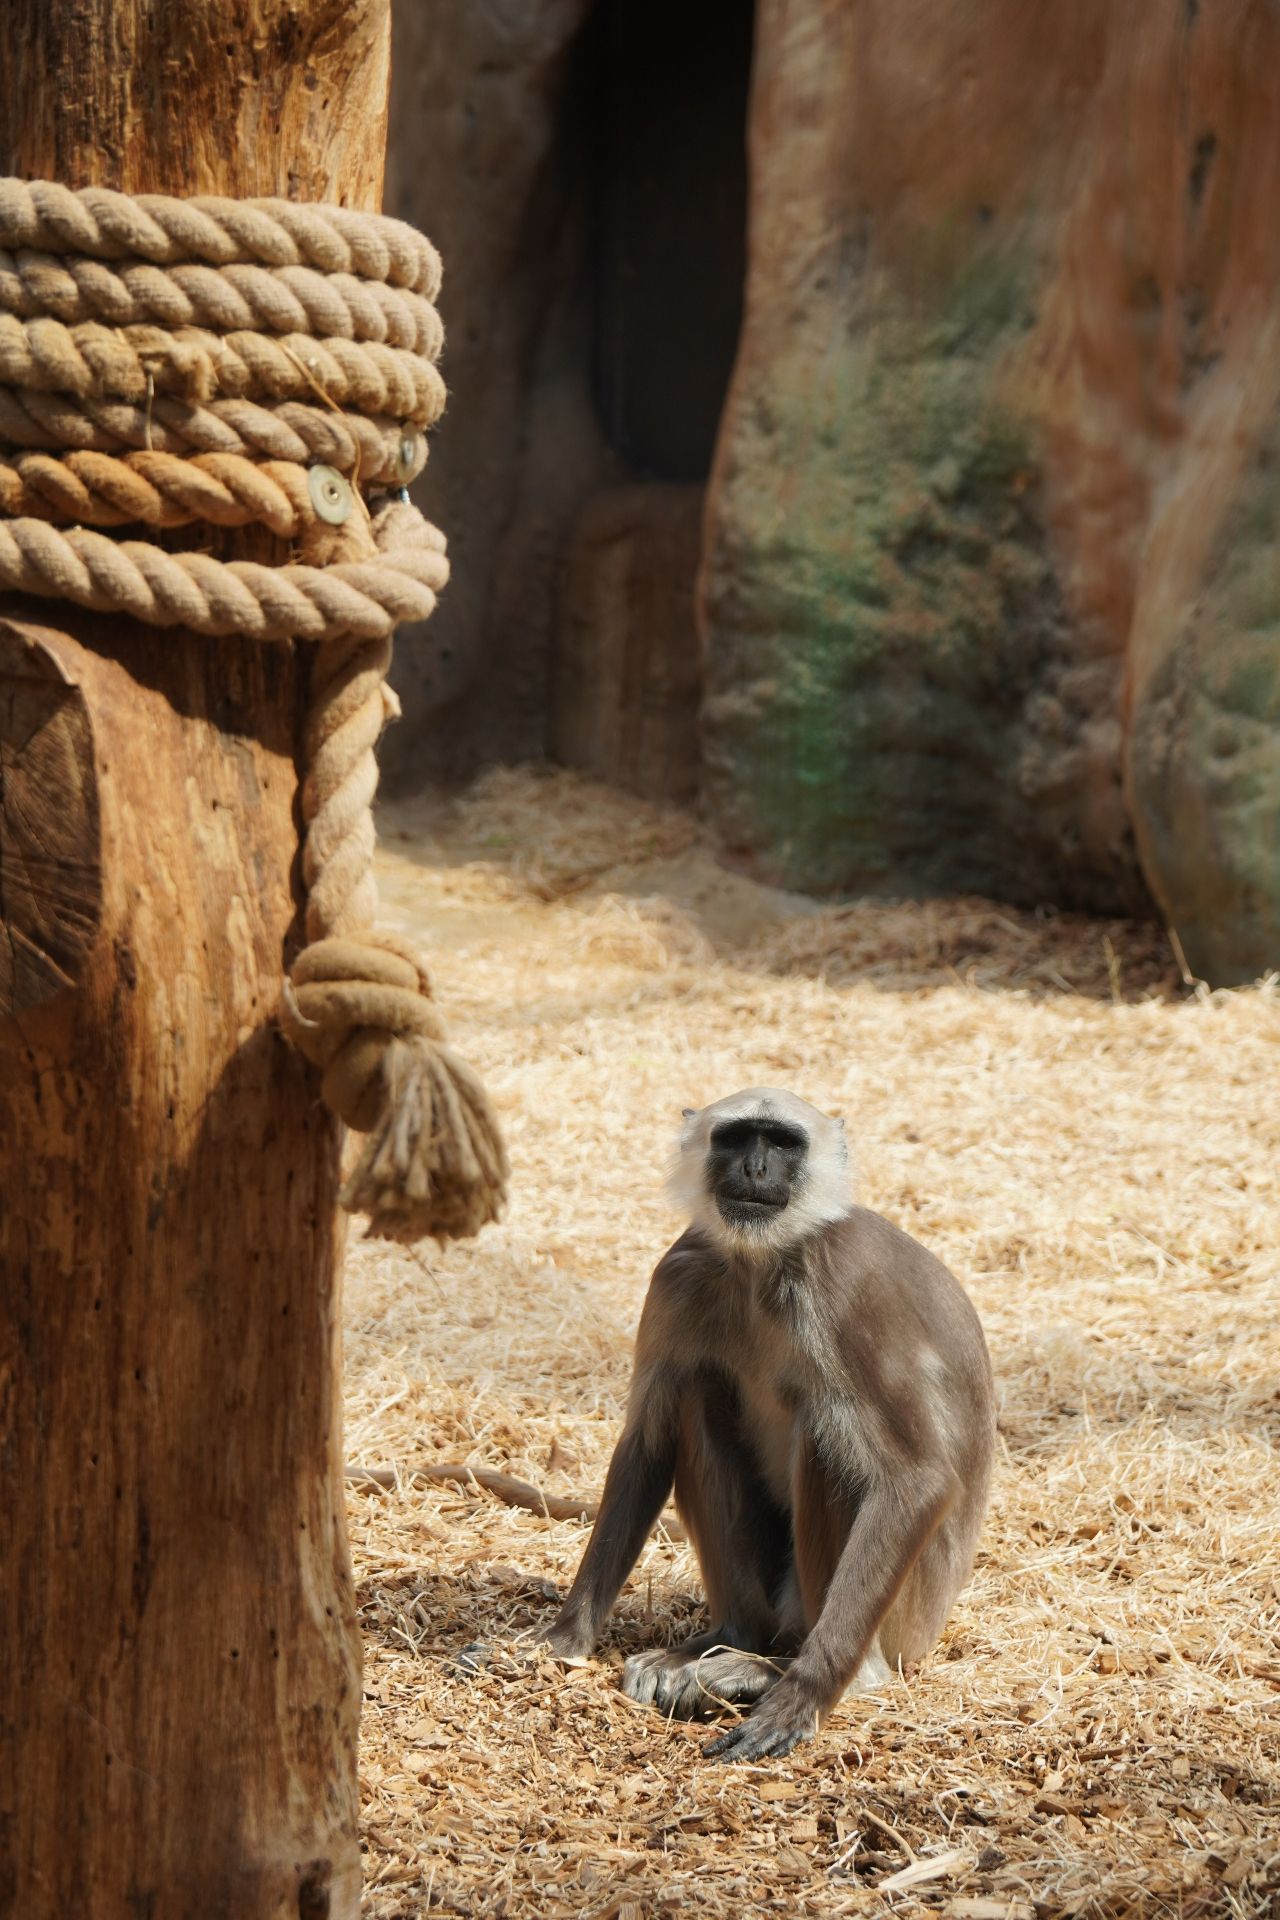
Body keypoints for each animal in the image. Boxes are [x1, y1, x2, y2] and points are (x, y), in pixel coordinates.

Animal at [538, 1087, 995, 1763]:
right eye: (736, 1139)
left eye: (781, 1143)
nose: (755, 1169)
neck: (762, 1263)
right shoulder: (679, 1272)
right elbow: (645, 1443)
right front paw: (564, 1638)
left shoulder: (842, 1282)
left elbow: (917, 1481)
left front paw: (803, 1696)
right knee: (696, 1391)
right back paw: (727, 1641)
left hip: (896, 1620)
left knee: (828, 1429)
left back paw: (791, 1672)